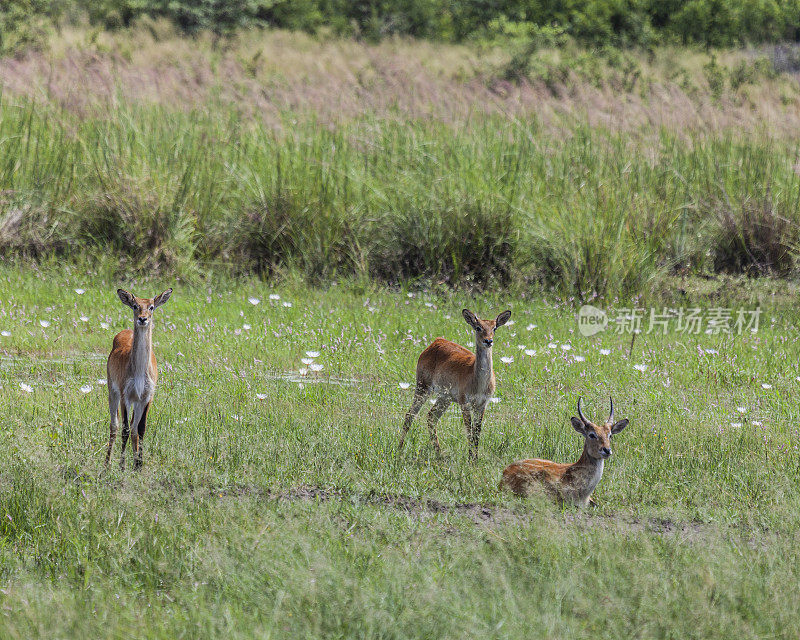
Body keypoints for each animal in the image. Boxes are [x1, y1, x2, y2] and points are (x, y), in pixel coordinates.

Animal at [104, 288, 172, 468]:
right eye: (135, 306)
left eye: (152, 307)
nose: (142, 319)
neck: (140, 372)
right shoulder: (125, 395)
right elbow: (125, 430)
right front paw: (122, 467)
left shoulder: (147, 396)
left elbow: (140, 429)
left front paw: (138, 466)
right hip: (112, 392)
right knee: (114, 426)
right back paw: (106, 465)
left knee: (134, 428)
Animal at [396, 306, 512, 460]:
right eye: (478, 327)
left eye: (494, 328)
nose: (488, 341)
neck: (478, 383)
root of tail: (435, 342)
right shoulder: (464, 402)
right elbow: (469, 432)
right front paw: (470, 459)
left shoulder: (482, 404)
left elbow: (477, 433)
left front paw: (475, 459)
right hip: (423, 386)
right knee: (410, 414)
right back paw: (399, 449)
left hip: (445, 397)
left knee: (431, 417)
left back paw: (439, 454)